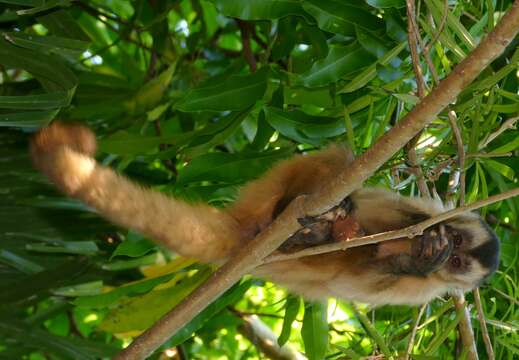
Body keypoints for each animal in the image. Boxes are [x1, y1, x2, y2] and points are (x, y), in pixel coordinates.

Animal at [28, 122, 500, 306]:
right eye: (458, 244)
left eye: (460, 262)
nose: (449, 247)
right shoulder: (426, 209)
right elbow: (387, 208)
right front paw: (424, 242)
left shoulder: (425, 292)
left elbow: (353, 280)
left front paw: (424, 256)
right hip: (267, 188)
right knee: (339, 163)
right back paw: (304, 210)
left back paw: (313, 237)